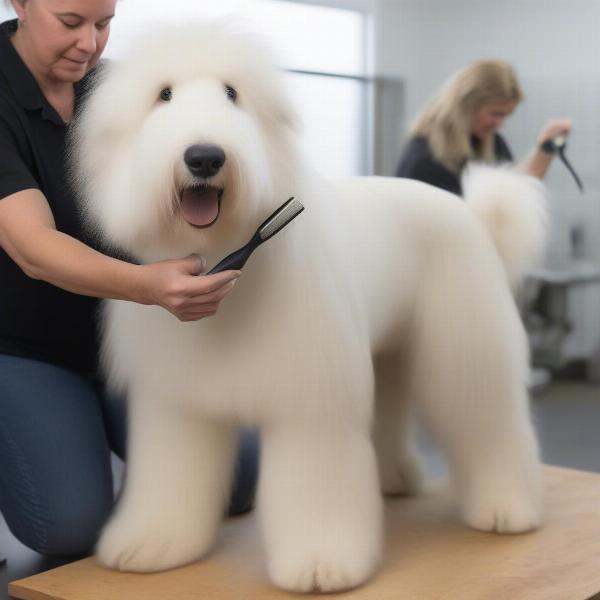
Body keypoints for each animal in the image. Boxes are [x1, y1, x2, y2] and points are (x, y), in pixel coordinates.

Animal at [71, 24, 548, 596]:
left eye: (232, 93)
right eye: (163, 95)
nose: (204, 156)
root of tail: (470, 212)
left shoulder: (312, 399)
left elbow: (315, 482)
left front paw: (323, 564)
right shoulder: (176, 402)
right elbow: (170, 472)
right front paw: (152, 544)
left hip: (465, 352)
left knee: (490, 422)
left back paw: (508, 510)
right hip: (387, 352)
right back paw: (397, 478)